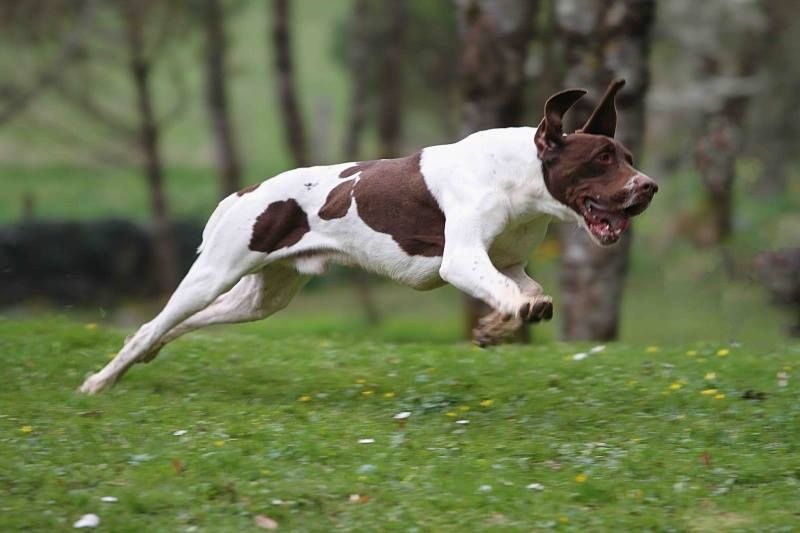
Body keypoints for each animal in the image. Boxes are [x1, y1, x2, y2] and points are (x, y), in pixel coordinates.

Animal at [79, 79, 657, 394]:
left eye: (627, 157)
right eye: (601, 159)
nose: (648, 187)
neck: (521, 177)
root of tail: (244, 193)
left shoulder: (509, 263)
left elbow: (526, 291)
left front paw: (498, 325)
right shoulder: (461, 259)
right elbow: (510, 293)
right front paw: (509, 316)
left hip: (260, 299)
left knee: (176, 325)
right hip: (214, 273)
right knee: (149, 325)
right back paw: (100, 381)